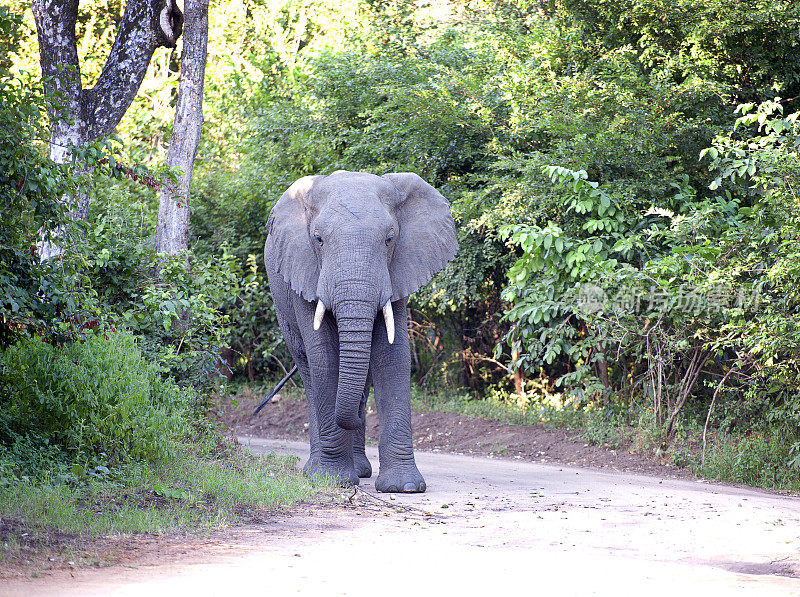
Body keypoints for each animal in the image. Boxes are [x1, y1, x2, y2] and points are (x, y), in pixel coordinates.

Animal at [268, 170, 460, 492]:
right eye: (318, 240)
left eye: (389, 239)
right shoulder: (305, 272)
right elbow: (325, 358)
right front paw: (333, 480)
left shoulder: (398, 272)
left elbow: (393, 356)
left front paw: (404, 487)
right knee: (308, 370)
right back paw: (317, 470)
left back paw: (359, 468)